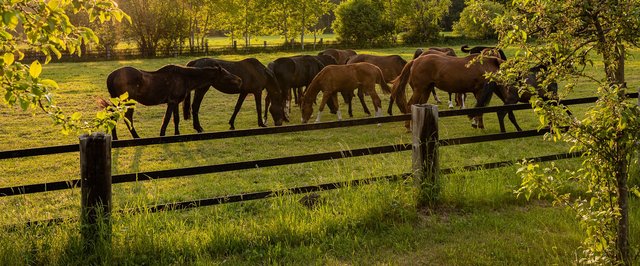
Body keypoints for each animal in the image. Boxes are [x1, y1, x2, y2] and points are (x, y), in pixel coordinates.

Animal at [99, 64, 241, 139]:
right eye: (226, 75)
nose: (239, 80)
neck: (185, 78)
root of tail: (112, 76)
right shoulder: (172, 102)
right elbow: (167, 119)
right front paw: (162, 134)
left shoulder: (175, 102)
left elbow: (176, 119)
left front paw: (177, 134)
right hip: (126, 102)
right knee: (125, 117)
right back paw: (134, 137)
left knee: (114, 116)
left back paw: (116, 138)